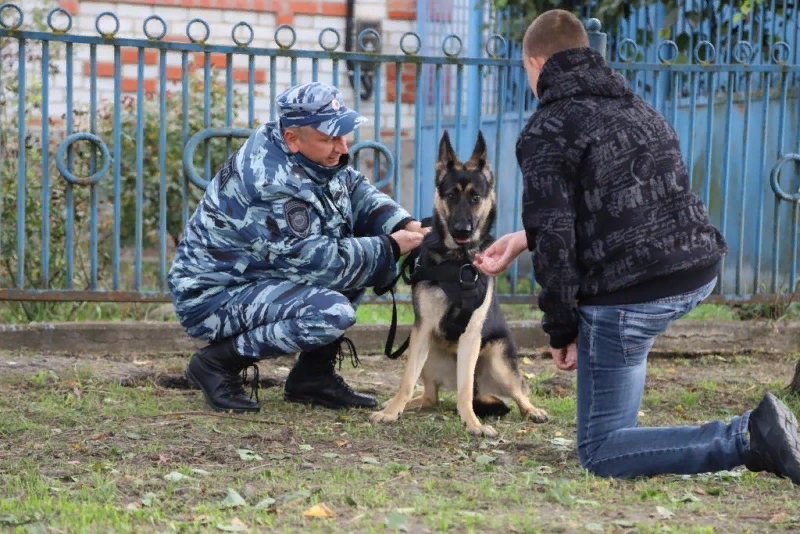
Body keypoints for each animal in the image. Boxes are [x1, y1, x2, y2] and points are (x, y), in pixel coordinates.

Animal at [370, 131, 552, 440]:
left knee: (518, 390)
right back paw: (407, 404)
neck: (459, 262)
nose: (462, 230)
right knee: (430, 396)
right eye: (451, 196)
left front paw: (473, 423)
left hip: (499, 362)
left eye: (476, 197)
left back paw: (532, 410)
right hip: (427, 353)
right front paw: (392, 411)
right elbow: (406, 381)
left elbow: (465, 390)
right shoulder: (422, 329)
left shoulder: (471, 335)